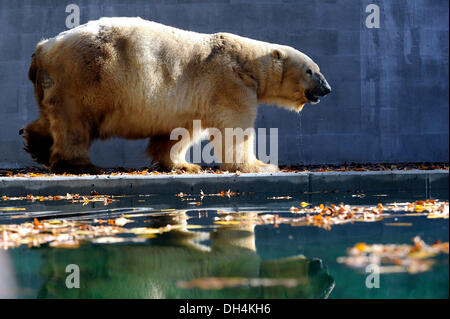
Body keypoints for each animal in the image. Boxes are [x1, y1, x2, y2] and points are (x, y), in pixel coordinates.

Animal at [21, 17, 330, 175]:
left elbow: (178, 132)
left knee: (50, 117)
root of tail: (42, 48)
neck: (248, 64)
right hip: (86, 75)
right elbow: (235, 128)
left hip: (57, 83)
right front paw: (260, 164)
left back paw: (34, 144)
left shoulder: (191, 100)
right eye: (311, 70)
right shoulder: (229, 84)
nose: (327, 89)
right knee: (75, 123)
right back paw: (81, 164)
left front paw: (183, 164)